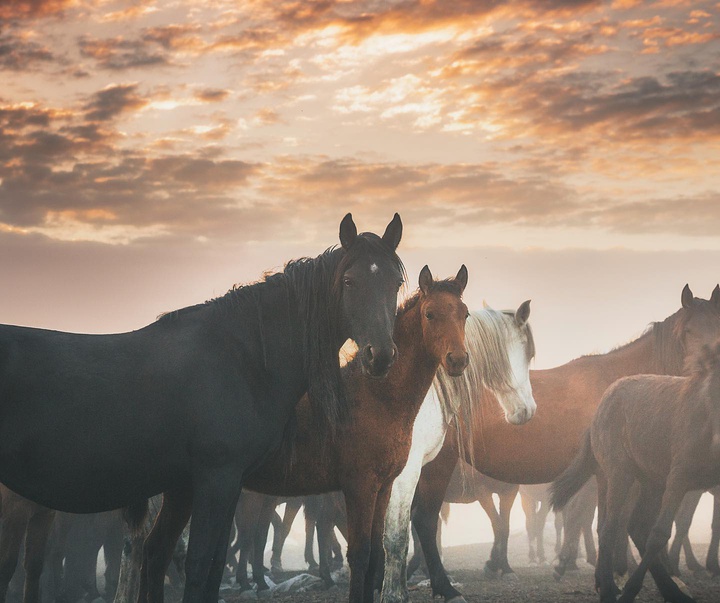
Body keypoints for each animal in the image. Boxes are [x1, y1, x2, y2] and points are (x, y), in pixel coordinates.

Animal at [0, 215, 404, 600]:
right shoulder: (215, 478)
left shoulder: (225, 483)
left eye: (396, 283)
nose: (381, 356)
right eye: (349, 281)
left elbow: (210, 566)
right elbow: (199, 565)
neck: (243, 359)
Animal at [137, 266, 470, 603]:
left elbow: (376, 554)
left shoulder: (383, 487)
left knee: (155, 550)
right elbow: (359, 555)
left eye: (464, 313)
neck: (374, 397)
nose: (458, 360)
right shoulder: (359, 487)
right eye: (429, 314)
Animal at [556, 344, 720, 603]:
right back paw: (610, 590)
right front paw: (630, 591)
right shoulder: (679, 479)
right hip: (621, 476)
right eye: (711, 394)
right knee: (610, 528)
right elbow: (660, 534)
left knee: (635, 527)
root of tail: (600, 407)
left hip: (652, 483)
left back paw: (671, 591)